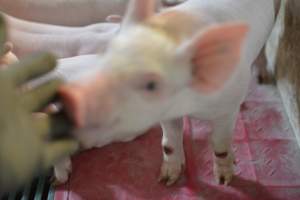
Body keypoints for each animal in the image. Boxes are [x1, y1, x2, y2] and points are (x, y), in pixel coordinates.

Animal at [54, 0, 276, 185]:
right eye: (106, 56)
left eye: (151, 85)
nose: (70, 101)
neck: (190, 105)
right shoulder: (167, 113)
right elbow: (169, 142)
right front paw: (166, 181)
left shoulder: (227, 107)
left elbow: (220, 142)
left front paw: (223, 181)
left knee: (263, 52)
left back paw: (263, 77)